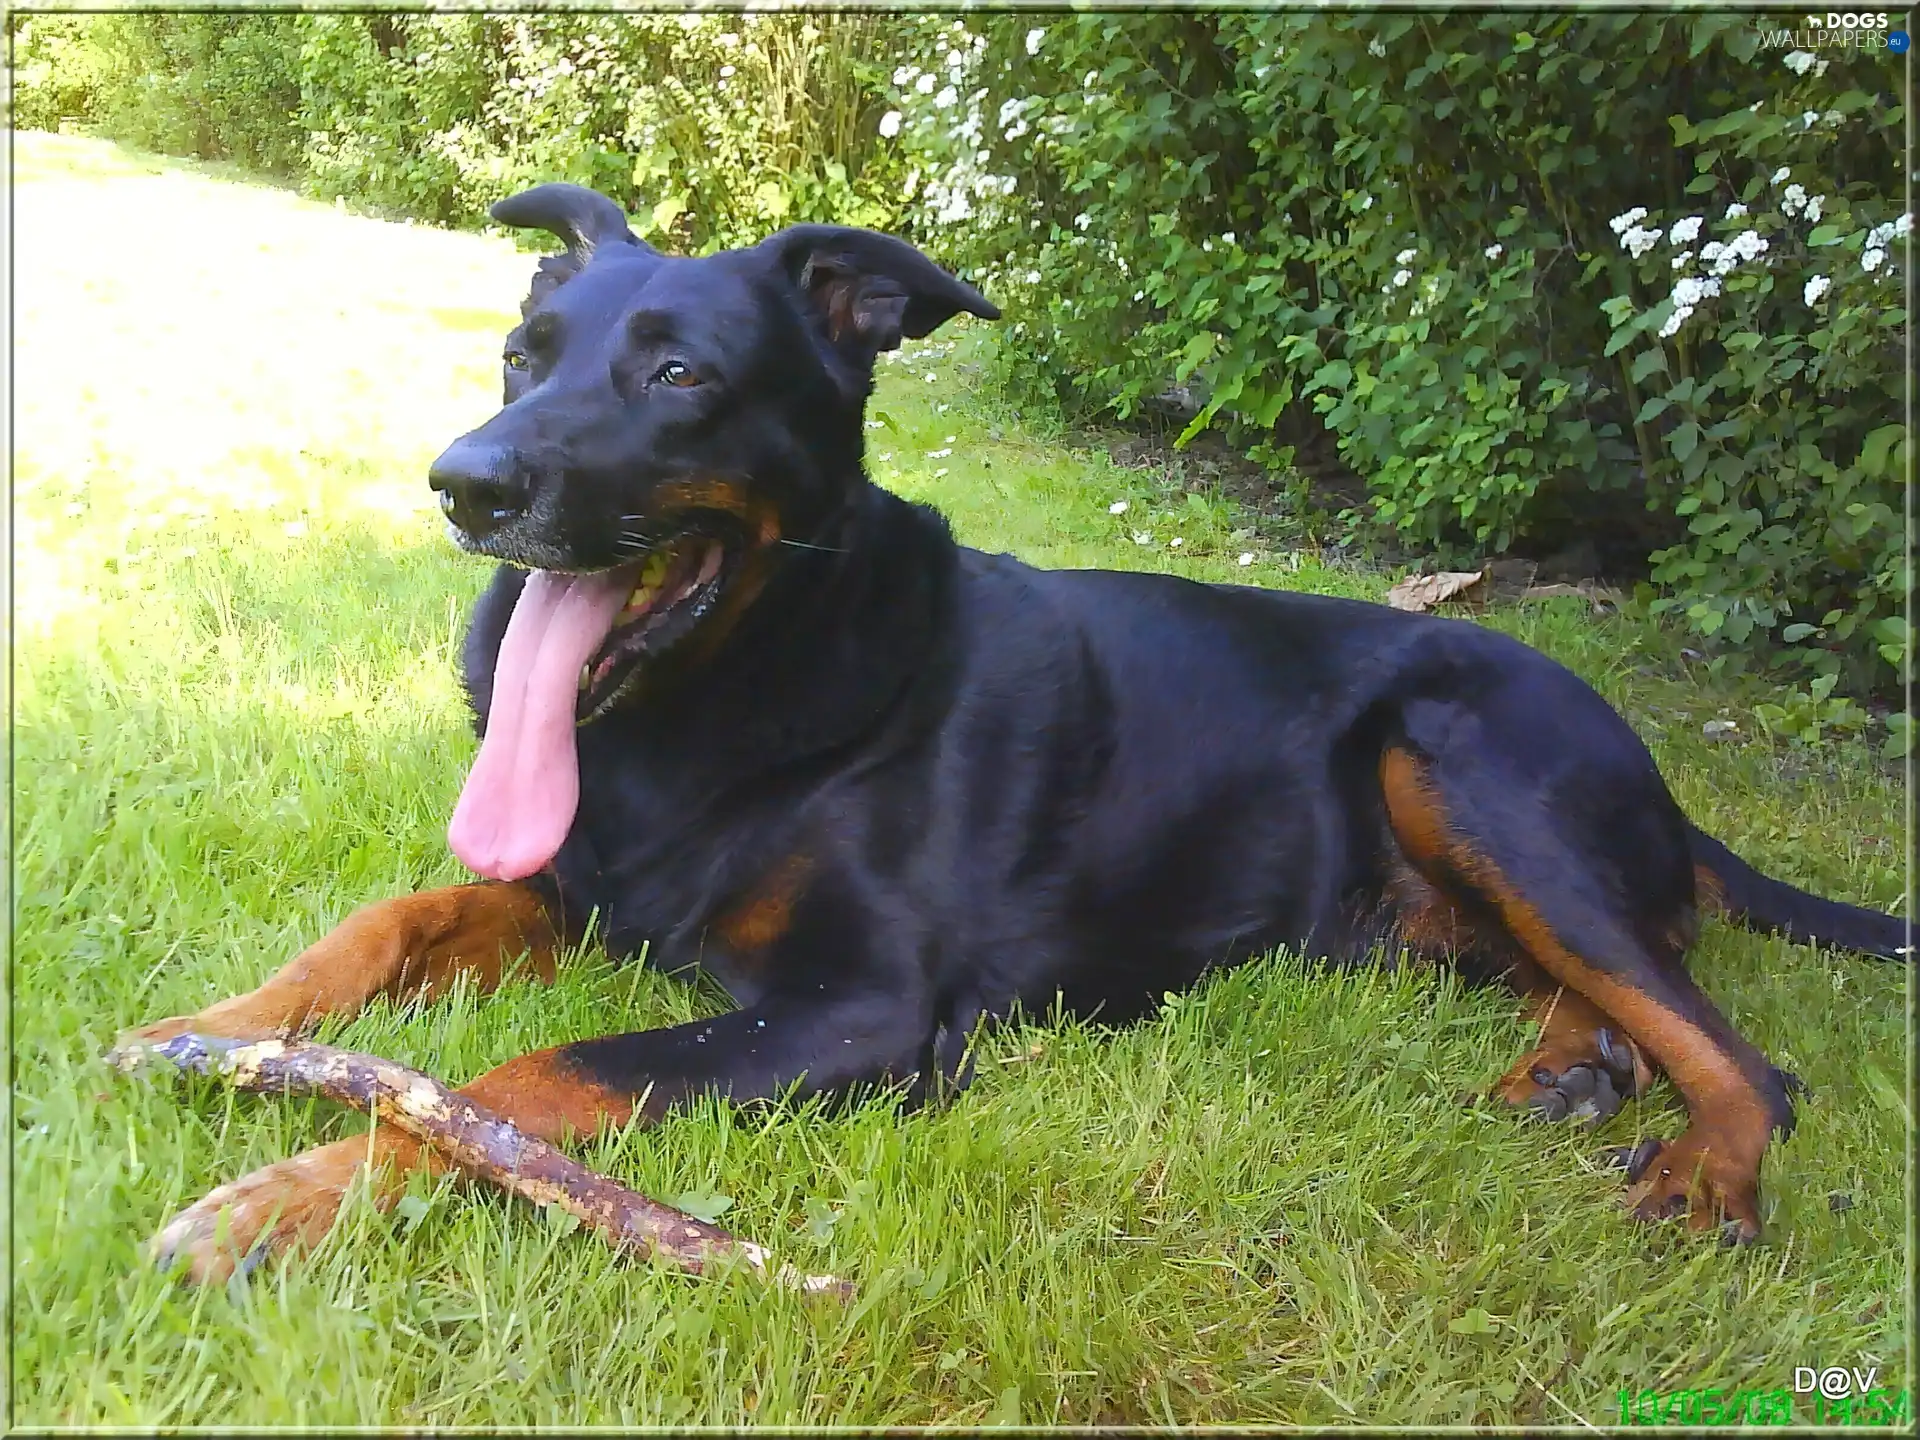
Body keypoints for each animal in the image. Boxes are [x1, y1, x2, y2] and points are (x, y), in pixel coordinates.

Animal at [123, 186, 1904, 1282]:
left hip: (1459, 751)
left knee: (1742, 1051)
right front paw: (224, 1028)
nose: (467, 484)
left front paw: (281, 1202)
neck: (725, 696)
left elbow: (515, 1083)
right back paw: (1569, 1066)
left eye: (682, 375)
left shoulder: (861, 1015)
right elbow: (387, 922)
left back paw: (1703, 1170)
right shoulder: (575, 884)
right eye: (519, 354)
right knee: (1601, 987)